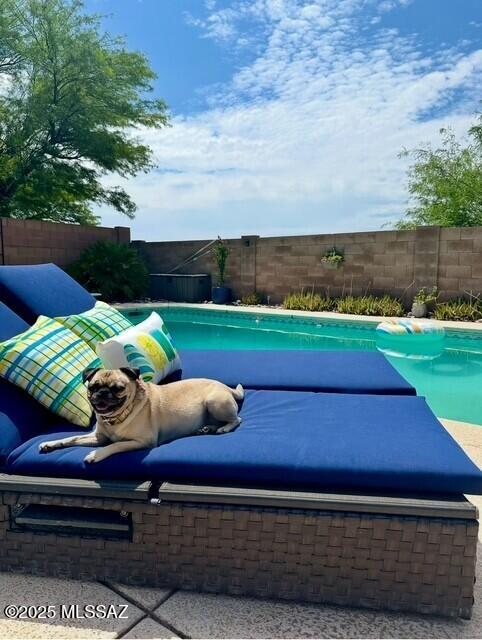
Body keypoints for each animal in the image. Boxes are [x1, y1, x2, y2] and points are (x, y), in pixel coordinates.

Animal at [38, 368, 245, 462]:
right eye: (93, 387)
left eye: (118, 389)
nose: (102, 393)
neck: (116, 418)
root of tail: (224, 386)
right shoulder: (98, 437)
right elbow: (71, 438)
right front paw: (51, 444)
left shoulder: (142, 441)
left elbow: (115, 445)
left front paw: (96, 455)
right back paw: (208, 428)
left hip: (214, 402)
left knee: (237, 419)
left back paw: (223, 428)